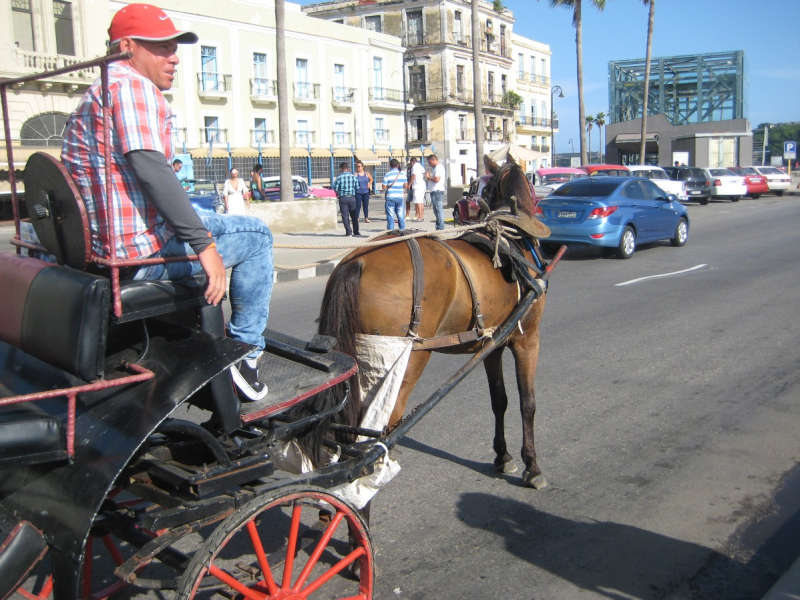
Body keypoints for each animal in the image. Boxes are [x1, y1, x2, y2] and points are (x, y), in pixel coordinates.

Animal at [294, 157, 552, 490]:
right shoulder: (527, 338)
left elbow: (500, 400)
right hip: (408, 359)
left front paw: (503, 456)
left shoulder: (492, 345)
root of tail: (357, 261)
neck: (511, 238)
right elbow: (527, 402)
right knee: (380, 431)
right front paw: (532, 466)